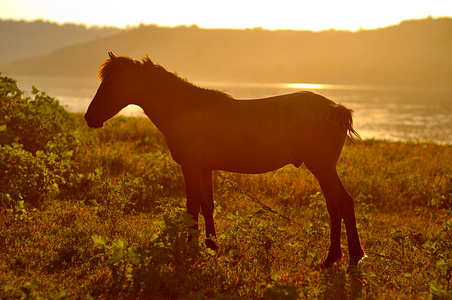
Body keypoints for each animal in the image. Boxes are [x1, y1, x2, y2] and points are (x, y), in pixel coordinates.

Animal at [85, 51, 368, 268]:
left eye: (112, 83)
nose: (90, 117)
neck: (186, 108)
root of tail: (335, 109)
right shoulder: (205, 169)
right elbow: (206, 205)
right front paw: (211, 245)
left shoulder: (191, 167)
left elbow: (192, 207)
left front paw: (191, 248)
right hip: (323, 170)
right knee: (334, 207)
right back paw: (333, 258)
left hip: (322, 168)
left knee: (344, 203)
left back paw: (353, 257)